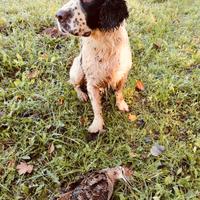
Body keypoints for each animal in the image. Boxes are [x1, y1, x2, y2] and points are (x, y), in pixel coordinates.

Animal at [55, 0, 132, 133]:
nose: (58, 15)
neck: (105, 42)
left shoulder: (123, 74)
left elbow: (119, 91)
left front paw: (121, 104)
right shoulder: (91, 83)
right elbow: (96, 107)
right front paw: (97, 125)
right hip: (78, 70)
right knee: (75, 85)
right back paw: (81, 95)